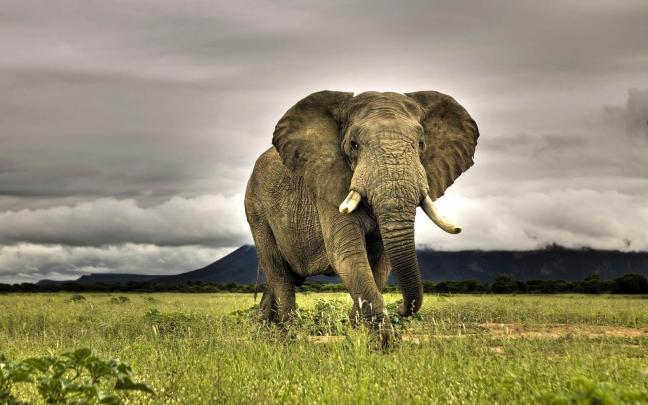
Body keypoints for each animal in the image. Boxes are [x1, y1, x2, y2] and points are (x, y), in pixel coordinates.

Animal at [244, 90, 478, 342]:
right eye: (354, 145)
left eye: (421, 144)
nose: (401, 309)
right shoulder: (328, 185)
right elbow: (348, 254)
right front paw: (383, 343)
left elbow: (381, 262)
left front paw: (357, 332)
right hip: (255, 209)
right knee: (279, 272)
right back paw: (287, 336)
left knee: (280, 277)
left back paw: (263, 331)